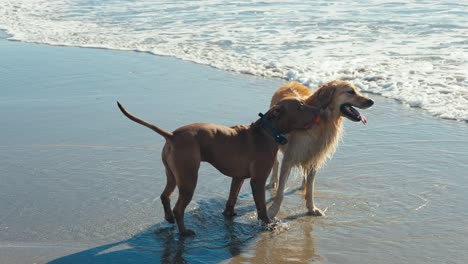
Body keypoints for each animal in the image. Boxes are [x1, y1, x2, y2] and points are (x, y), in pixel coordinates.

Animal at [119, 98, 320, 235]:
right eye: (300, 106)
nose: (318, 109)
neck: (268, 130)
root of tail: (172, 135)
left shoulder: (238, 177)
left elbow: (232, 197)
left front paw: (229, 214)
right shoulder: (258, 180)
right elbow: (262, 206)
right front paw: (269, 224)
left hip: (174, 175)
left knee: (165, 196)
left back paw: (168, 218)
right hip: (188, 179)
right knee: (178, 208)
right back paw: (184, 232)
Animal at [266, 80, 372, 219]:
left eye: (357, 90)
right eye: (350, 91)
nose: (371, 101)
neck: (323, 119)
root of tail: (291, 82)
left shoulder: (315, 158)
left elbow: (311, 188)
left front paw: (312, 208)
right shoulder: (289, 158)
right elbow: (281, 191)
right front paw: (273, 211)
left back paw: (303, 184)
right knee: (276, 162)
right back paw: (273, 181)